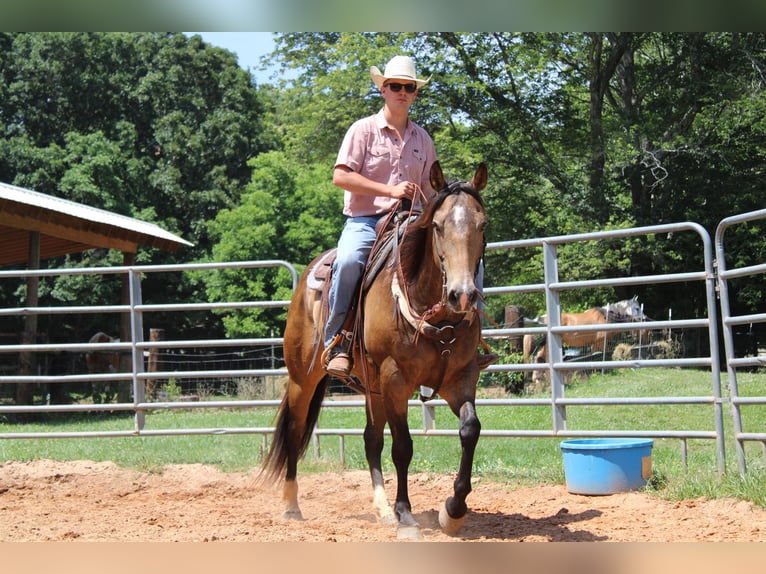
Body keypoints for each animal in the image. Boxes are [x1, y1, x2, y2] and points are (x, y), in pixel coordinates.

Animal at [260, 161, 488, 540]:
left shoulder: (460, 378)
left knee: (371, 440)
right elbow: (403, 446)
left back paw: (381, 509)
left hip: (373, 388)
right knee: (295, 431)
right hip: (303, 379)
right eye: (437, 226)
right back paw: (292, 506)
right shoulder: (396, 380)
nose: (463, 294)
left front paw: (453, 511)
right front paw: (406, 515)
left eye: (482, 225)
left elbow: (470, 430)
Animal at [520, 296, 648, 388]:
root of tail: (539, 320)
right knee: (542, 359)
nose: (645, 318)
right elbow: (600, 356)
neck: (606, 316)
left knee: (538, 359)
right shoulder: (599, 343)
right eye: (637, 308)